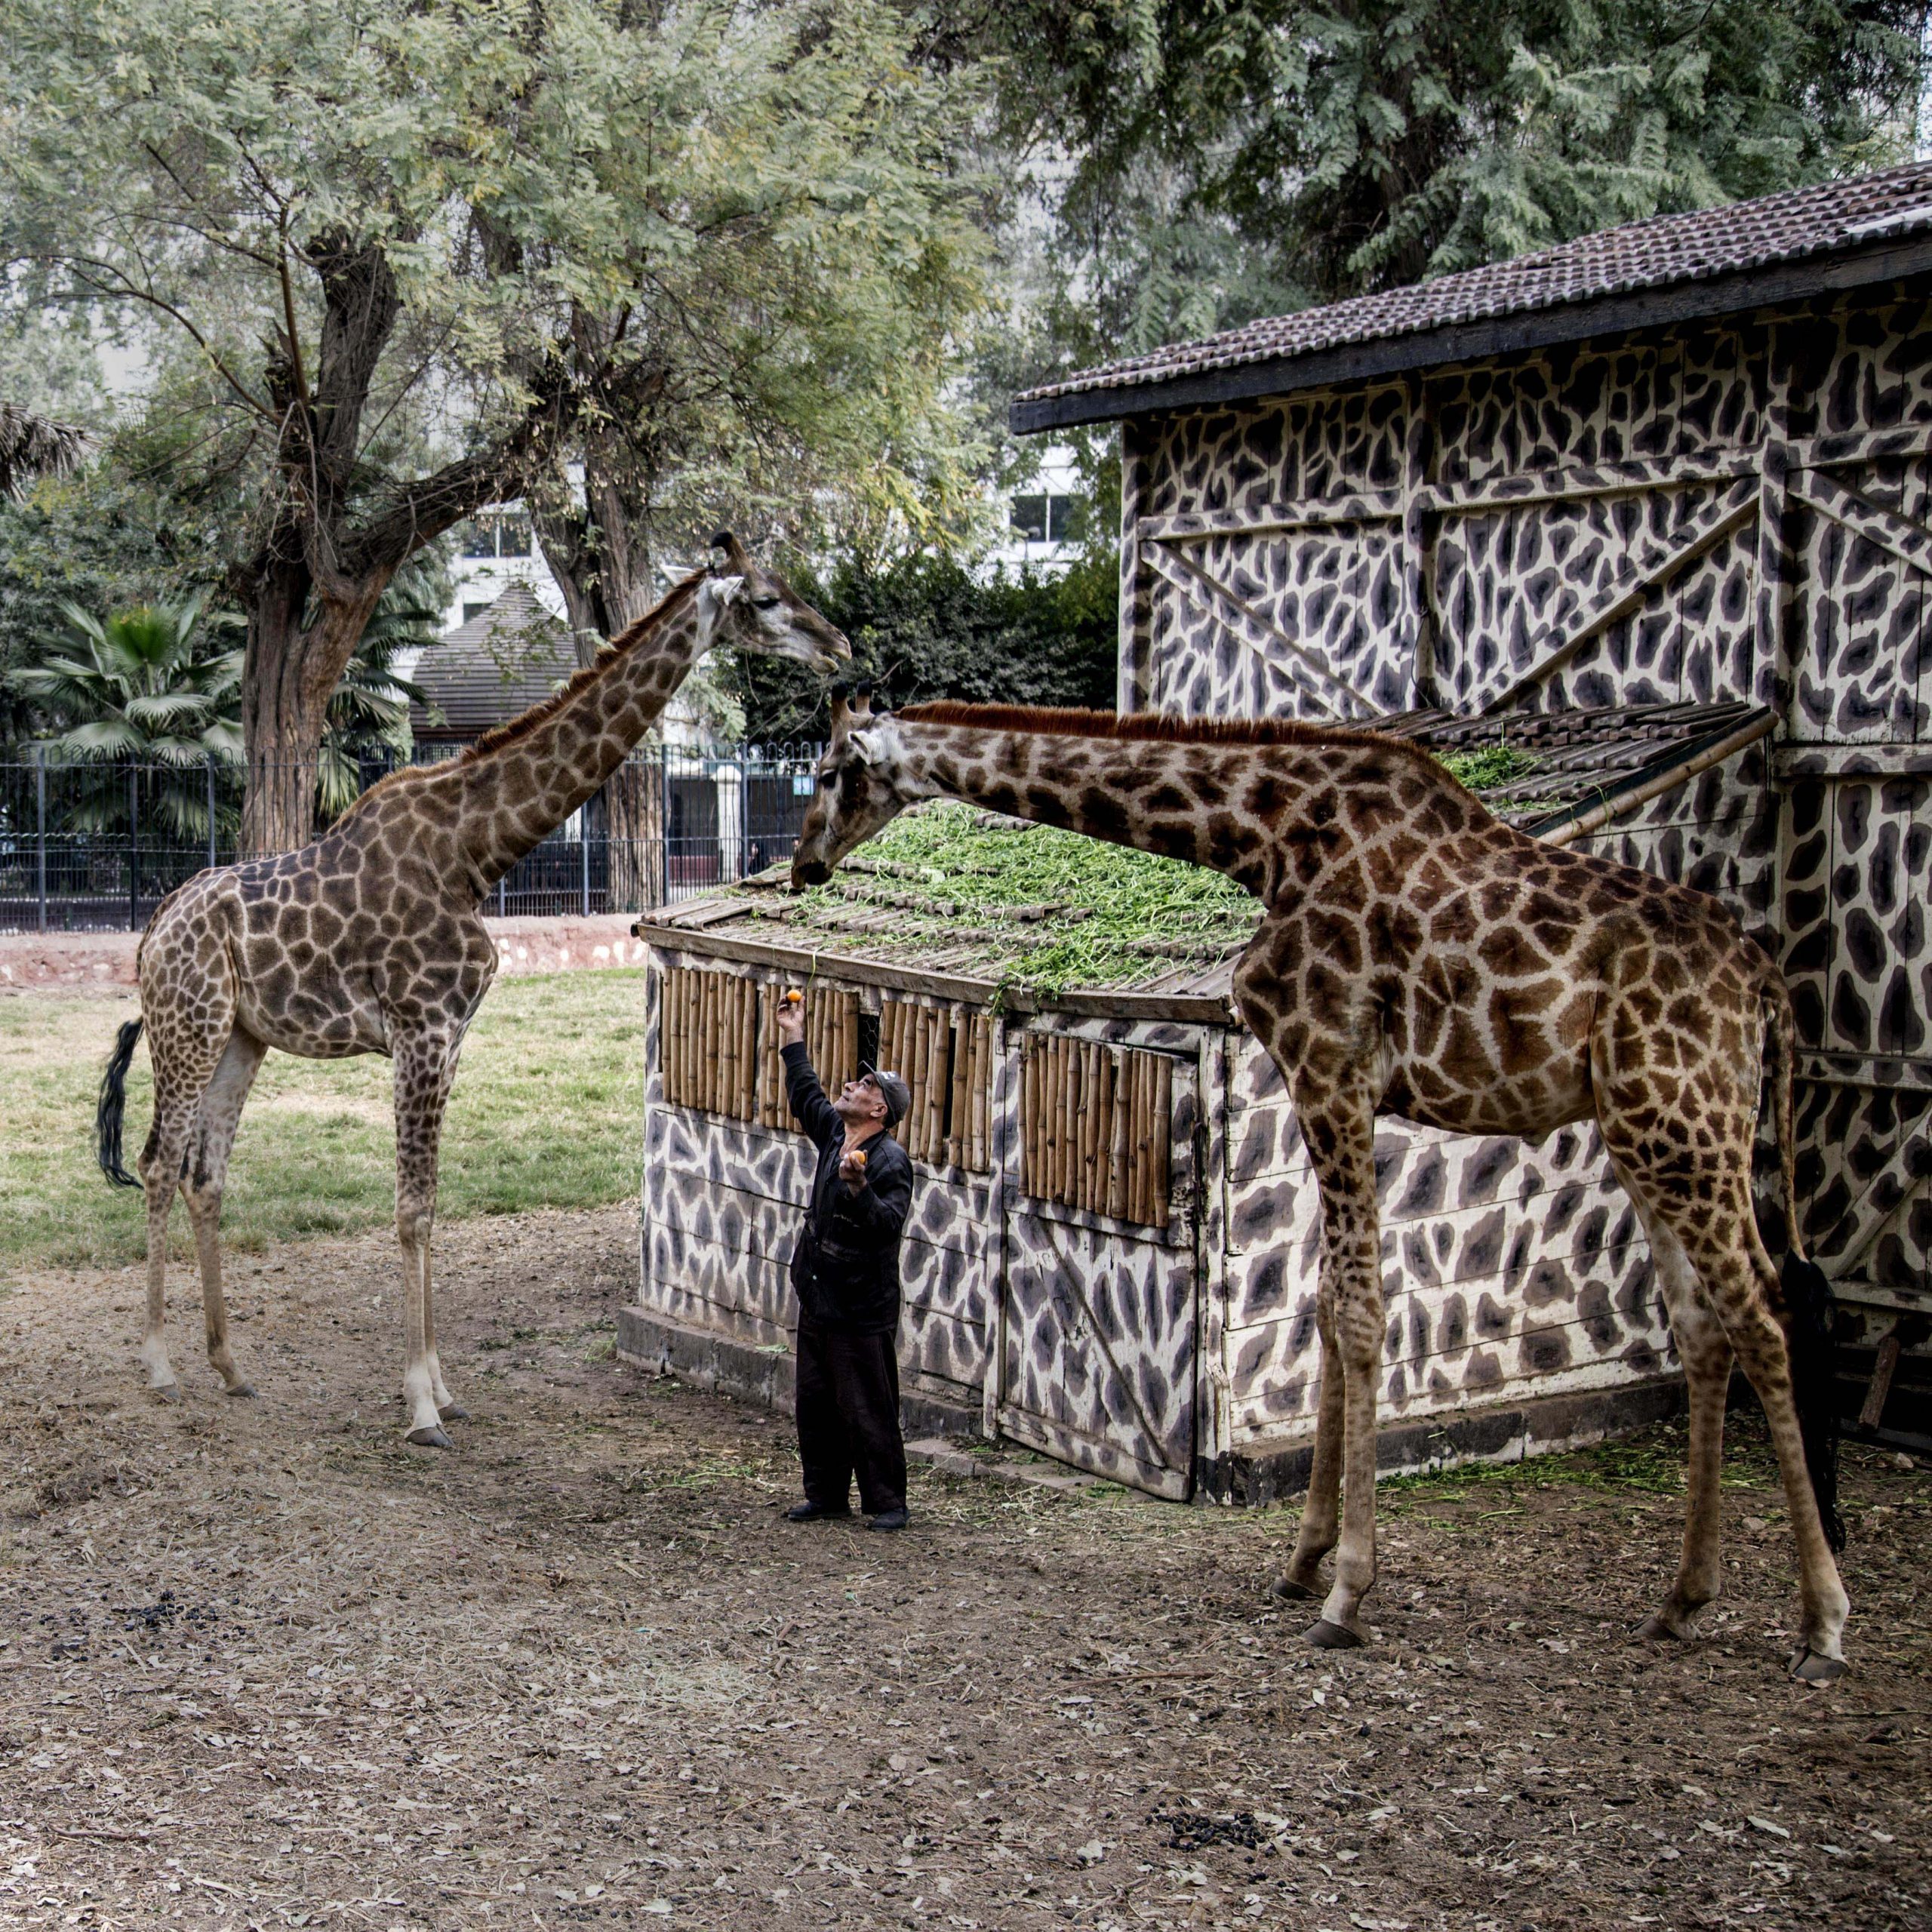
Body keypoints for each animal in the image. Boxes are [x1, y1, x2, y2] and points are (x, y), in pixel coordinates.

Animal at [95, 535, 847, 1446]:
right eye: (766, 600)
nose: (839, 646)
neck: (476, 851)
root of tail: (152, 930)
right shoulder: (419, 1029)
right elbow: (412, 1208)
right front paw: (421, 1407)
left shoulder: (451, 1037)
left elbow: (433, 1203)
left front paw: (444, 1391)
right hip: (189, 1025)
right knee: (157, 1162)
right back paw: (160, 1366)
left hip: (243, 1036)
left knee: (206, 1172)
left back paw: (231, 1367)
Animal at [790, 695, 1852, 1682]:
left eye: (835, 770)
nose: (804, 862)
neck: (1261, 837)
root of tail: (1762, 979)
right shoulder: (1330, 1083)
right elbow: (1327, 1306)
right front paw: (1304, 1562)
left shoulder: (1327, 1060)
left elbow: (1360, 1310)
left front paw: (1346, 1594)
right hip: (1649, 1133)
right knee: (1703, 1323)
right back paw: (1682, 1600)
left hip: (1684, 1123)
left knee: (1761, 1314)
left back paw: (1823, 1624)